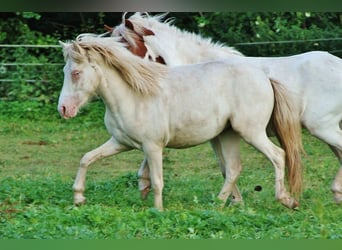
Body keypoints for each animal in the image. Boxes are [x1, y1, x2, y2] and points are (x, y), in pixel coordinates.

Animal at [58, 36, 300, 209]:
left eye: (76, 73)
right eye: (65, 71)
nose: (64, 109)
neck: (133, 96)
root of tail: (264, 77)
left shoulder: (152, 146)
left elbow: (157, 180)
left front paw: (157, 210)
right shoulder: (121, 142)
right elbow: (87, 159)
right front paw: (79, 198)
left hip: (251, 132)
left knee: (278, 155)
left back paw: (286, 200)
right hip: (227, 135)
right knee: (232, 169)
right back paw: (220, 205)